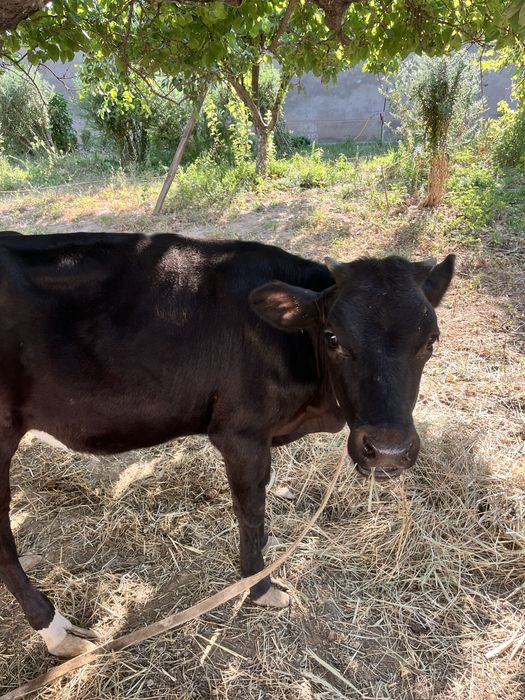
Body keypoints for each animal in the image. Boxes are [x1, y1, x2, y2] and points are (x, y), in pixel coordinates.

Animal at [0, 231, 454, 657]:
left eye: (431, 341)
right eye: (333, 338)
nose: (388, 450)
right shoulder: (241, 434)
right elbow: (251, 514)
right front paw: (260, 587)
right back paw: (57, 631)